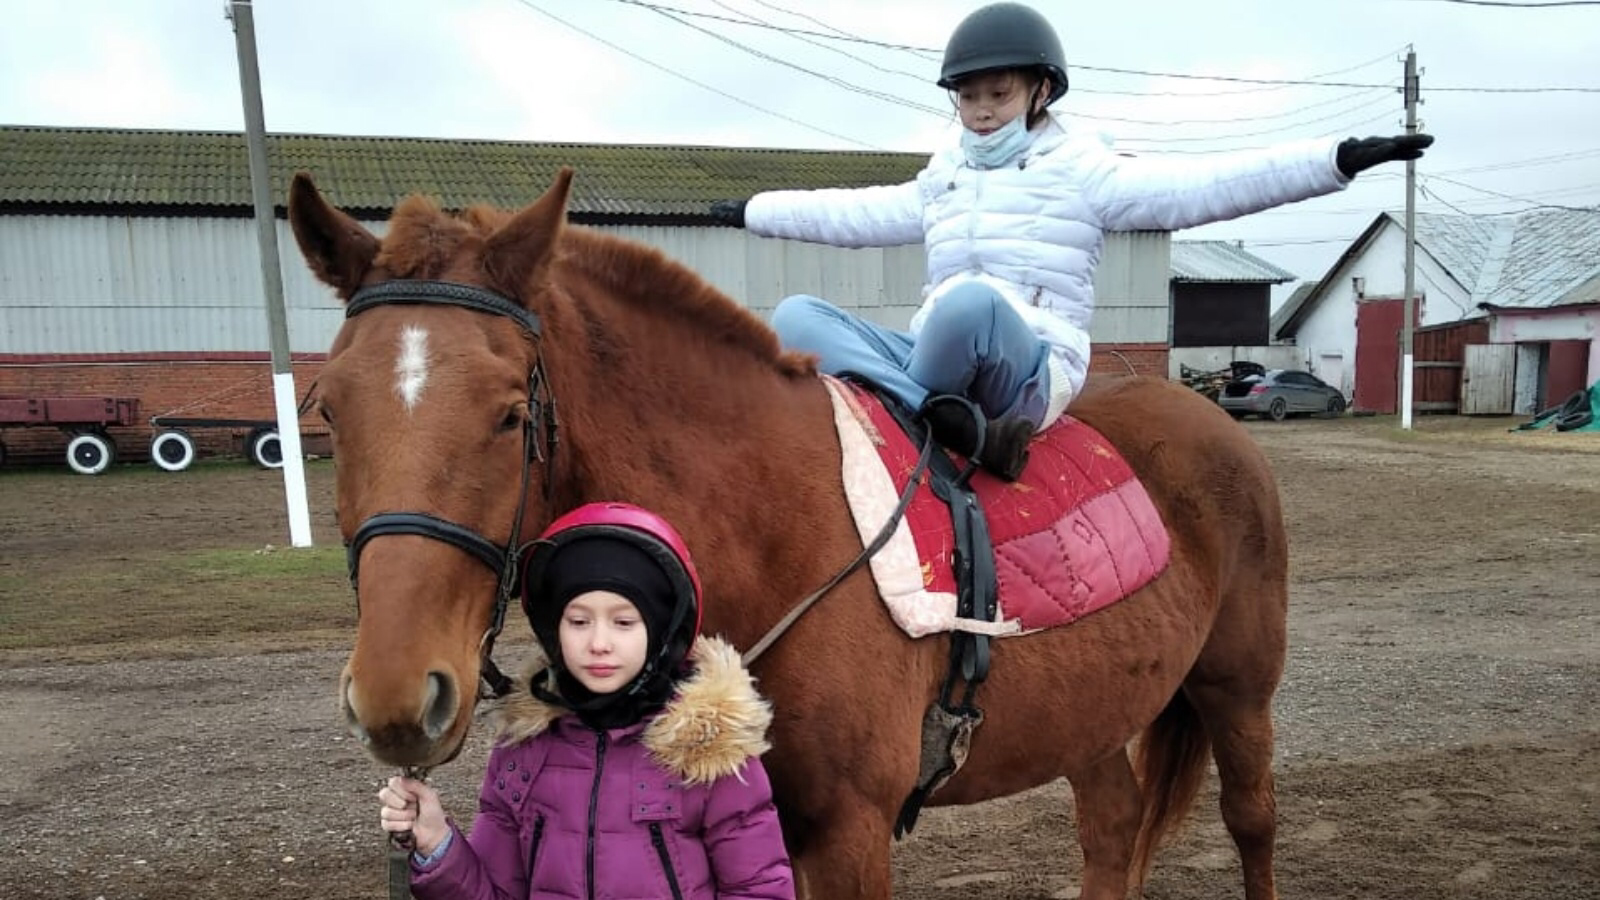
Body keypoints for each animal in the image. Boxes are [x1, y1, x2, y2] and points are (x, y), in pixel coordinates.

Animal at [284, 168, 1286, 896]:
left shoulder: (848, 834)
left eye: (507, 415)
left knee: (1251, 821)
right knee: (1112, 828)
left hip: (1238, 693)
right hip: (1094, 716)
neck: (770, 531)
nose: (396, 700)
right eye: (328, 409)